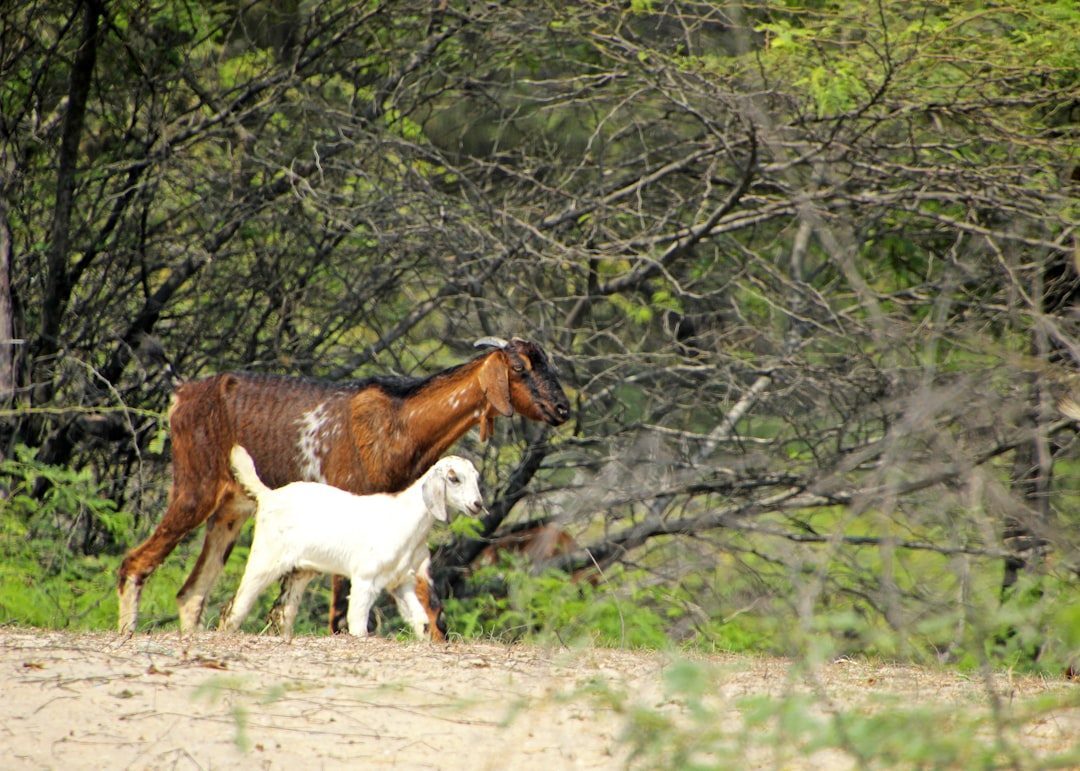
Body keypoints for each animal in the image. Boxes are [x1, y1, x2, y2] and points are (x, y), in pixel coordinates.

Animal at [222, 446, 482, 639]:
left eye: (476, 478)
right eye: (453, 478)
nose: (477, 504)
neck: (404, 519)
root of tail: (268, 495)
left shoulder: (402, 582)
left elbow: (422, 622)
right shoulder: (365, 580)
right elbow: (358, 626)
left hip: (301, 570)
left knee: (282, 613)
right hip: (265, 560)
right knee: (236, 607)